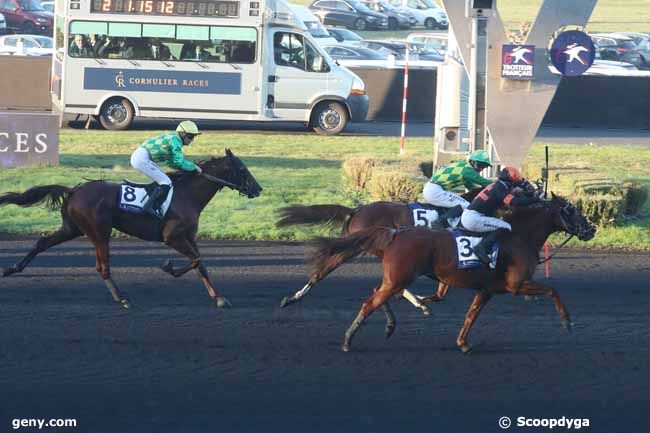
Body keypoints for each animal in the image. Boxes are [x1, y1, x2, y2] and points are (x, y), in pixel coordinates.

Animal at [2, 148, 260, 308]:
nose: (259, 190)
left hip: (72, 228)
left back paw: (12, 268)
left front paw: (218, 298)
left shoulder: (189, 237)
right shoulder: (172, 237)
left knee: (42, 243)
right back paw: (121, 298)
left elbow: (201, 264)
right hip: (99, 231)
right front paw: (168, 267)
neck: (186, 195)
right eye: (243, 170)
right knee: (102, 266)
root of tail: (73, 190)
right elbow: (196, 260)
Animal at [306, 194, 596, 352]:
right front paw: (567, 322)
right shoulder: (516, 285)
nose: (591, 229)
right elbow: (553, 290)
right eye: (572, 210)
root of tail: (396, 233)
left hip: (394, 279)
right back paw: (348, 339)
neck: (519, 237)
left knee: (377, 294)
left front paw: (462, 342)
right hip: (398, 278)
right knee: (370, 302)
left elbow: (470, 315)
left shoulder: (487, 290)